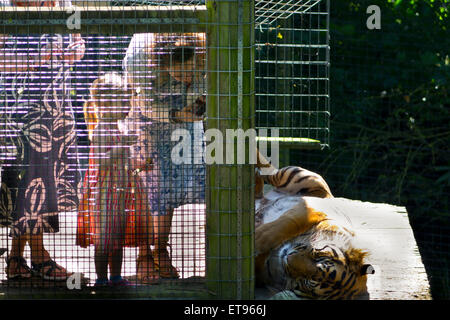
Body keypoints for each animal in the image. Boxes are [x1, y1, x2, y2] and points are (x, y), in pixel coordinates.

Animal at [255, 156, 374, 298]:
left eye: (307, 281)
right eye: (320, 256)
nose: (288, 257)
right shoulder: (313, 208)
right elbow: (289, 222)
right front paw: (257, 239)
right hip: (301, 176)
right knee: (268, 170)